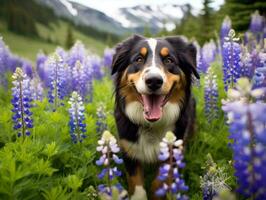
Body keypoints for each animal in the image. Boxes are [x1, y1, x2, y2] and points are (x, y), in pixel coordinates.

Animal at [110, 34, 200, 200]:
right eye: (138, 59)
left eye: (169, 60)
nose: (154, 81)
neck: (151, 125)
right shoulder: (129, 149)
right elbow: (136, 181)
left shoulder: (172, 150)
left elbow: (159, 181)